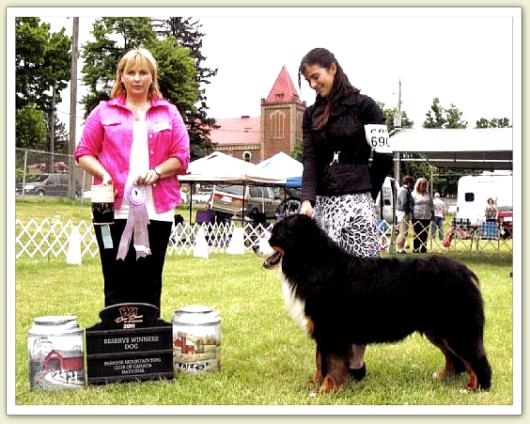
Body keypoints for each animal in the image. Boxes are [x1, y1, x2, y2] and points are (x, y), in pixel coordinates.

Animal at [256, 215, 490, 394]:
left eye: (275, 234)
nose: (254, 246)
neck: (313, 264)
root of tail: (466, 272)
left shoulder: (331, 330)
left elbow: (332, 363)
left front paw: (325, 390)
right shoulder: (323, 330)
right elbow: (320, 361)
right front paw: (314, 384)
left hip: (456, 327)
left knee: (475, 359)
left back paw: (475, 388)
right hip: (439, 330)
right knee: (455, 358)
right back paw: (444, 376)